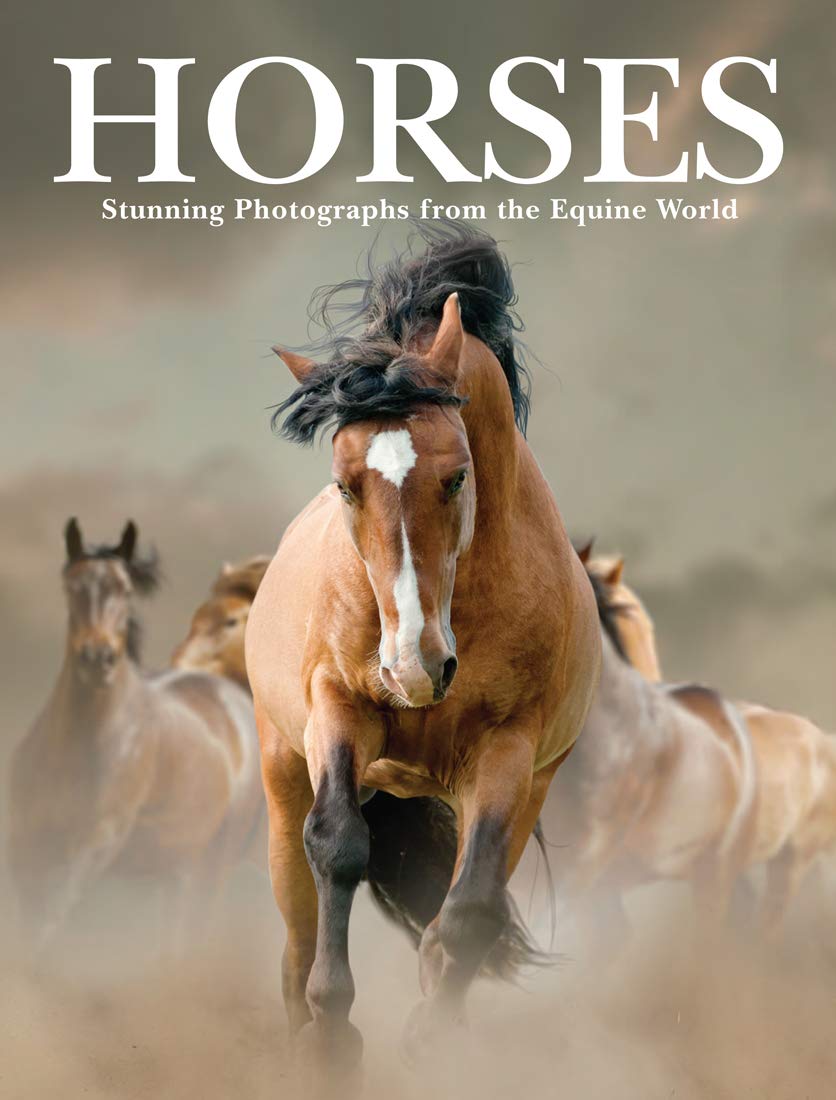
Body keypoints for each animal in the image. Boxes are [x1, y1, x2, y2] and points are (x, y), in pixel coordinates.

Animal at [7, 519, 264, 950]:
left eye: (125, 590)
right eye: (71, 586)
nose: (98, 658)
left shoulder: (95, 844)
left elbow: (52, 923)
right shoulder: (26, 850)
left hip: (211, 869)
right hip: (174, 872)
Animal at [245, 223, 601, 1071]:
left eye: (456, 476)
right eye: (346, 484)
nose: (413, 667)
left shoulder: (508, 752)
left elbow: (467, 914)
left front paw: (428, 1043)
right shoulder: (336, 712)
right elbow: (340, 846)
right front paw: (334, 1035)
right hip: (282, 773)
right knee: (297, 932)